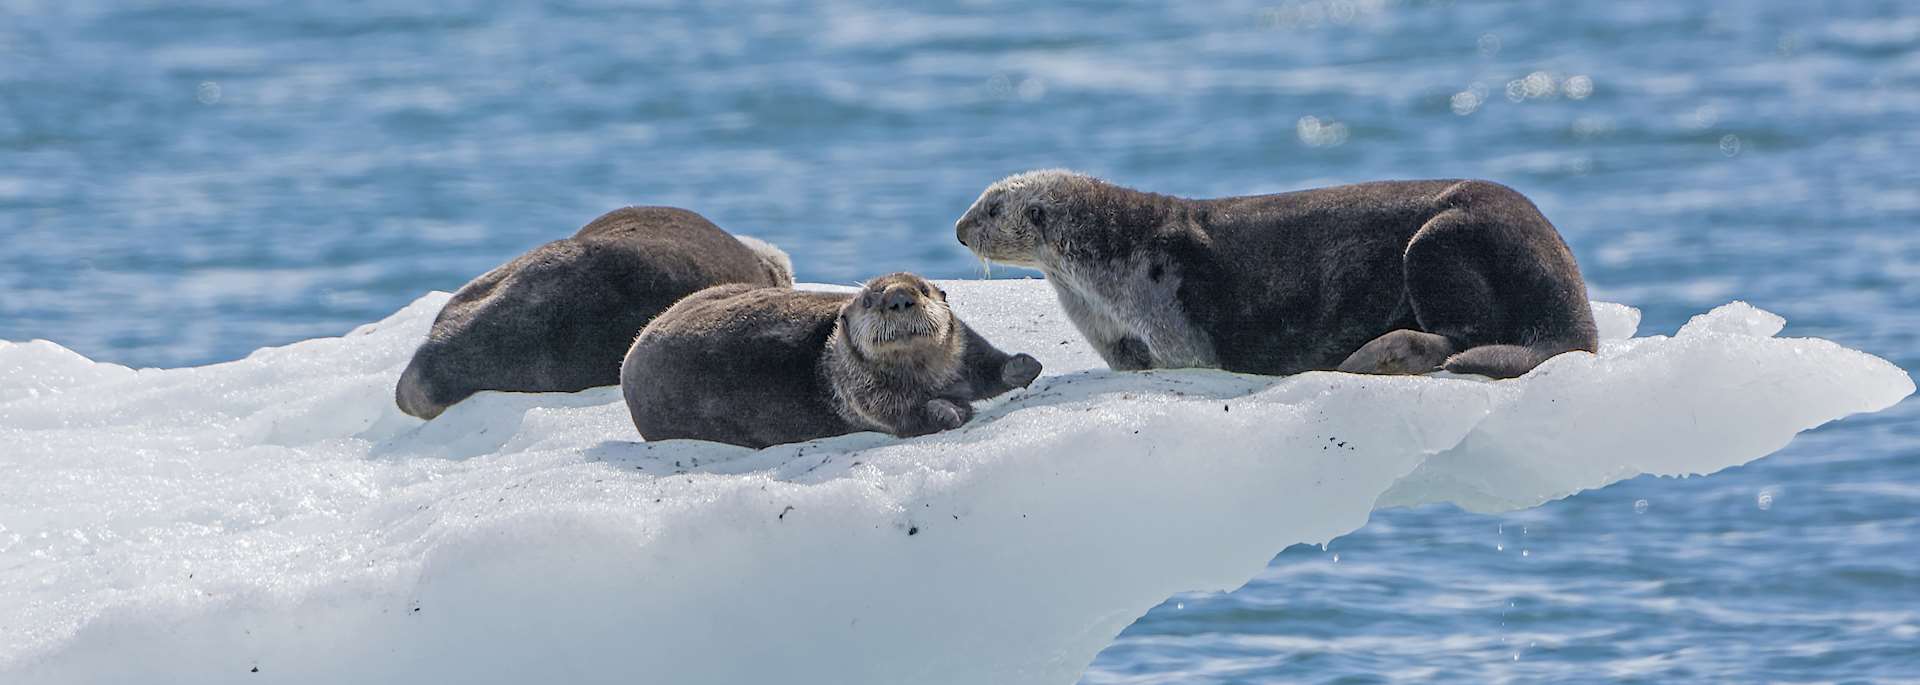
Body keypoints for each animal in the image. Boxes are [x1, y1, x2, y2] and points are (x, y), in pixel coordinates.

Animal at [620, 273, 1042, 448]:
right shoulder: (867, 398)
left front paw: (1023, 365)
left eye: (923, 290)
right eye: (870, 299)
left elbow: (986, 363)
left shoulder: (965, 345)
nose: (899, 298)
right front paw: (950, 411)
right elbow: (910, 415)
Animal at [954, 170, 1597, 378]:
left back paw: (1380, 355)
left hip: (1442, 240)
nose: (959, 228)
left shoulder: (1175, 320)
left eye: (991, 209)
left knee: (1466, 336)